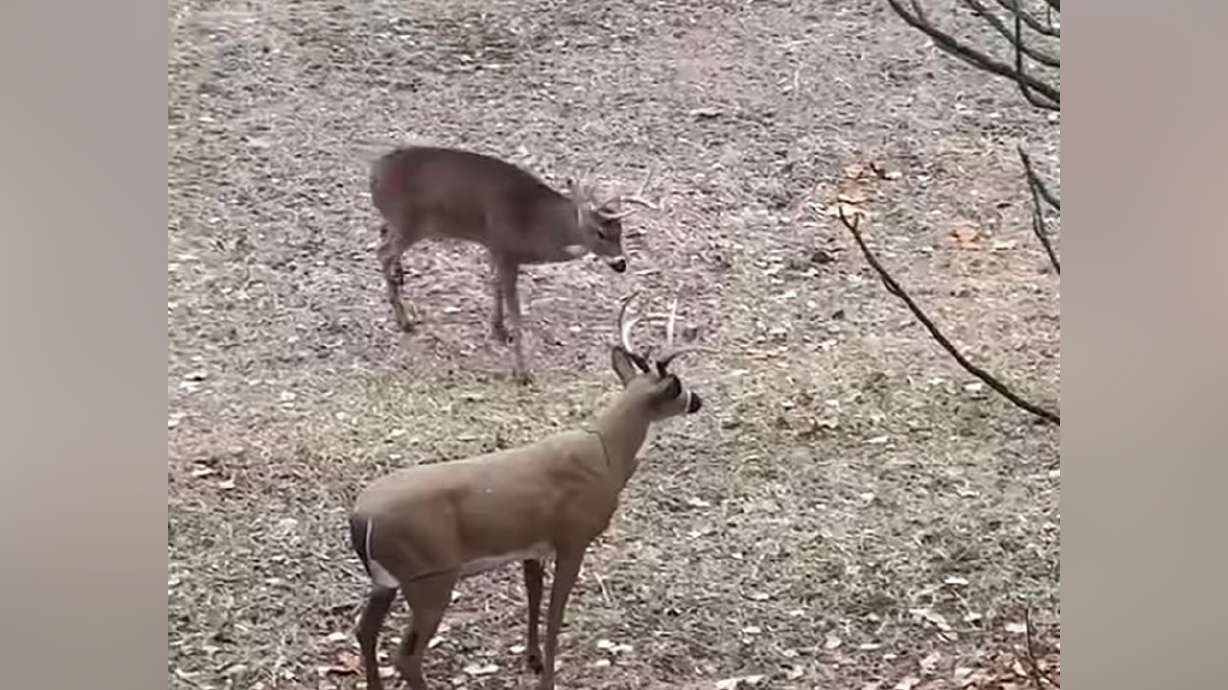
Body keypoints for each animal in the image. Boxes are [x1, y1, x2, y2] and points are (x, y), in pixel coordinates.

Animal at [347, 291, 707, 690]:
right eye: (678, 385)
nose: (698, 400)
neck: (608, 455)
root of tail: (359, 519)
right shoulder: (573, 537)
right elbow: (555, 616)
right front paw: (547, 677)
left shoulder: (532, 546)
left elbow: (534, 597)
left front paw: (532, 660)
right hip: (429, 576)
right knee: (407, 655)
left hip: (387, 581)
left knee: (364, 631)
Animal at [369, 145, 654, 384]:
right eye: (600, 233)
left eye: (621, 231)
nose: (620, 264)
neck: (534, 223)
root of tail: (375, 173)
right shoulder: (507, 251)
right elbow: (517, 312)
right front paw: (522, 372)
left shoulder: (495, 247)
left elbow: (494, 284)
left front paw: (498, 329)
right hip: (411, 222)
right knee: (383, 253)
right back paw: (405, 320)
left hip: (402, 223)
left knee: (383, 237)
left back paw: (400, 283)